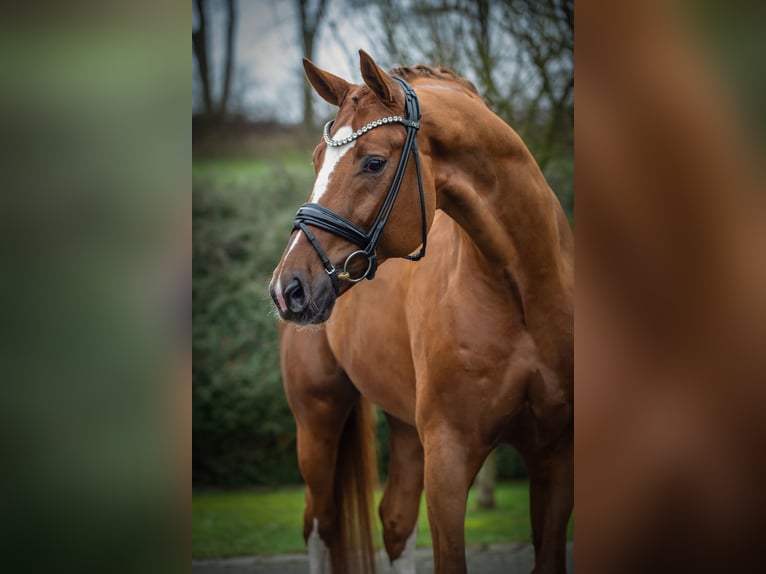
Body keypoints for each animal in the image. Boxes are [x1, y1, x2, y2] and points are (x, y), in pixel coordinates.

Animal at [269, 50, 573, 574]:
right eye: (315, 160)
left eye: (373, 162)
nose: (288, 288)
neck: (522, 293)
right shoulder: (449, 458)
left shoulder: (556, 457)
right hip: (318, 422)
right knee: (319, 524)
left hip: (408, 428)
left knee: (395, 521)